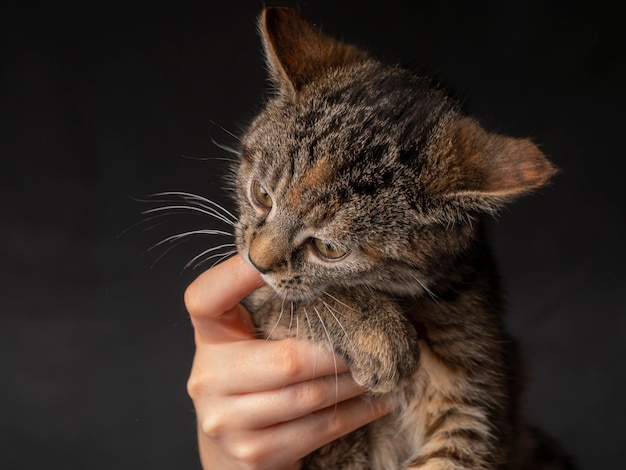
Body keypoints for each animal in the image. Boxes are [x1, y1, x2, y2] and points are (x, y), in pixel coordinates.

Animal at [229, 7, 572, 470]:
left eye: (330, 249)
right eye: (262, 195)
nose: (256, 261)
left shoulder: (471, 409)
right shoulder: (256, 304)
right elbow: (287, 300)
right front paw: (379, 332)